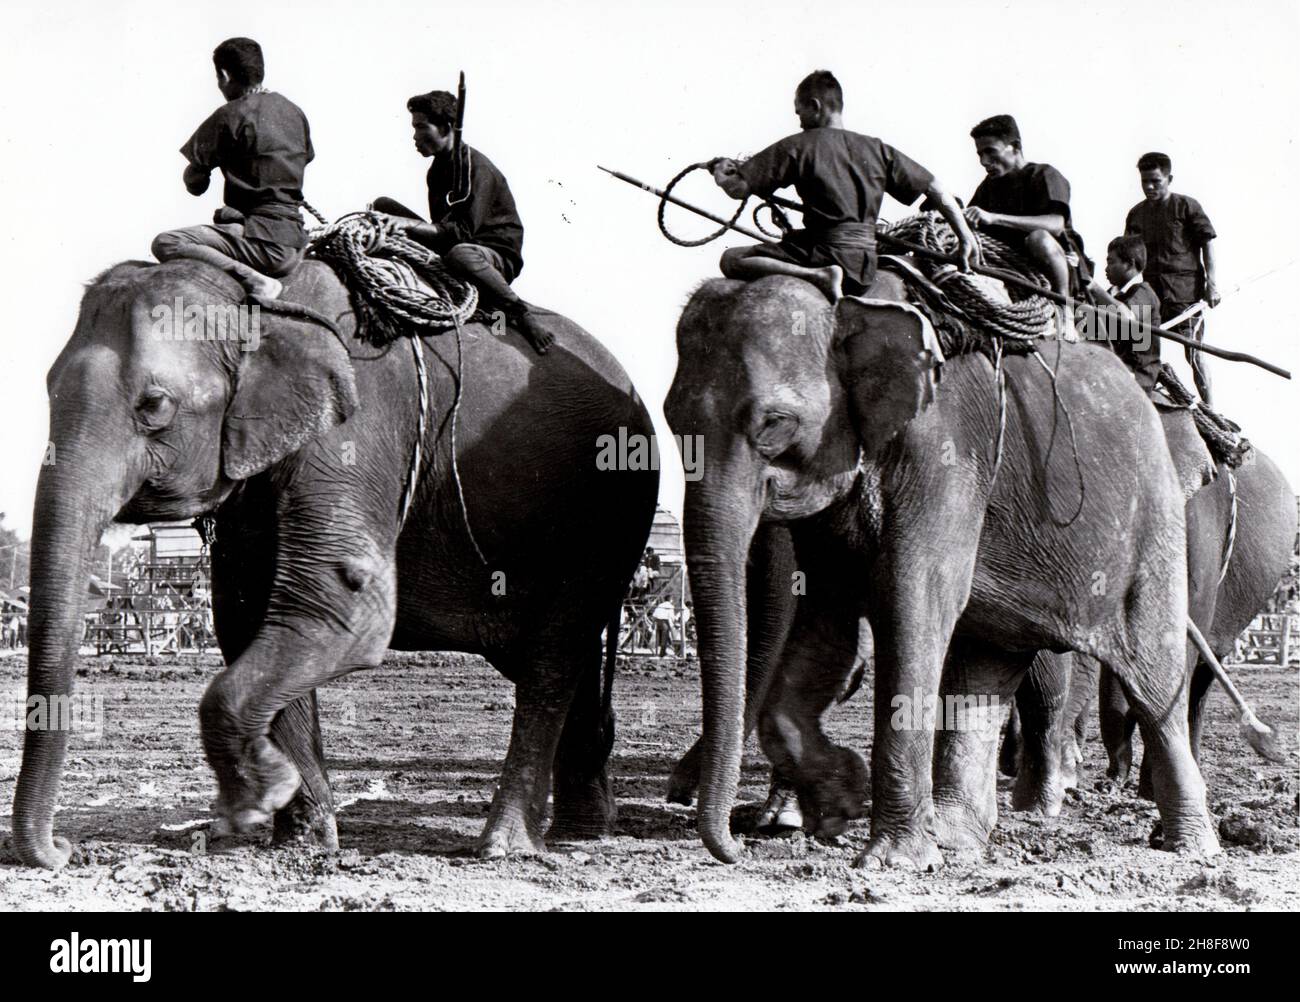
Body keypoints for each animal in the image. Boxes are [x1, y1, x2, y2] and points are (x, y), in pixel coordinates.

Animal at [11, 253, 660, 868]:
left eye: (154, 405)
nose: (65, 849)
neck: (260, 300)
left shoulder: (359, 426)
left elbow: (340, 608)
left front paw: (252, 800)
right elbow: (252, 617)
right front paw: (299, 842)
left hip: (607, 514)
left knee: (552, 655)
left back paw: (507, 846)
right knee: (555, 658)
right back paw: (584, 828)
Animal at [665, 274, 1222, 868]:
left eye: (774, 422)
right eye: (671, 420)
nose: (734, 849)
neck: (852, 306)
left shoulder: (944, 455)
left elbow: (911, 600)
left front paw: (892, 859)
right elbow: (827, 618)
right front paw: (842, 801)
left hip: (1153, 530)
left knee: (1154, 678)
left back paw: (1191, 848)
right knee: (983, 668)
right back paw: (957, 839)